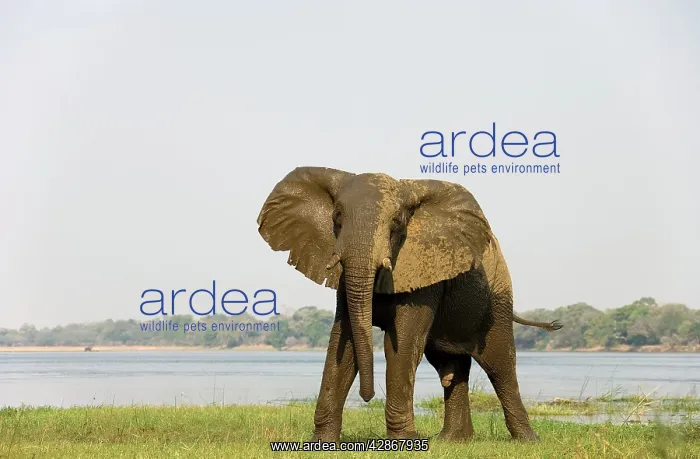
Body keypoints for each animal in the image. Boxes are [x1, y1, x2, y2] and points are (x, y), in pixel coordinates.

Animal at [256, 167, 562, 442]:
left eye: (396, 222)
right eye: (337, 217)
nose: (367, 397)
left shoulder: (425, 270)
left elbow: (401, 344)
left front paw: (404, 441)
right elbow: (345, 342)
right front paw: (322, 443)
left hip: (496, 300)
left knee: (500, 366)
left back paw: (527, 441)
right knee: (451, 367)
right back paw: (452, 441)